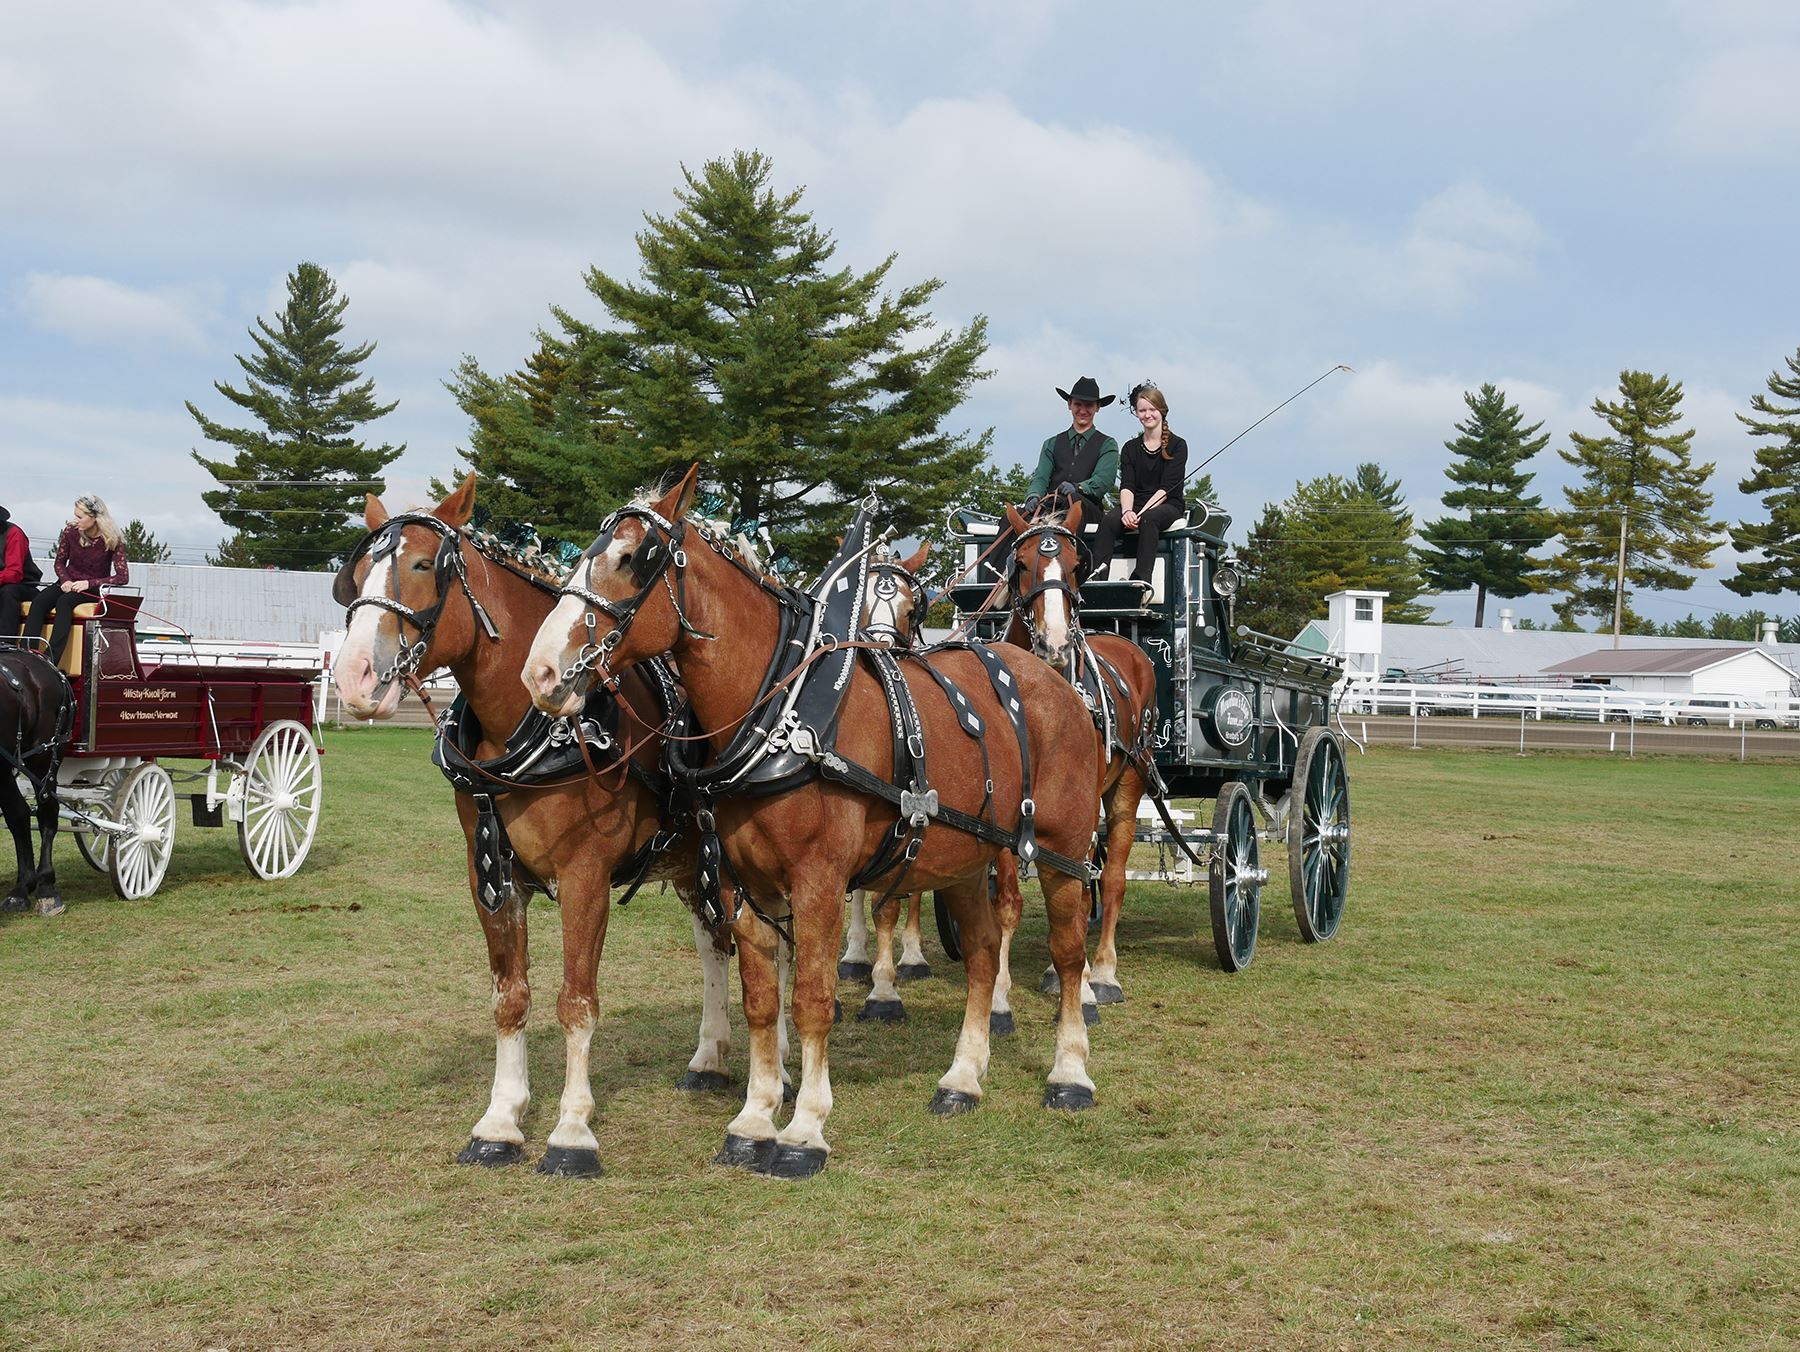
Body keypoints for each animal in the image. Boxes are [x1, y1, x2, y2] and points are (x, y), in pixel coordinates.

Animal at [331, 476, 782, 1178]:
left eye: (424, 565)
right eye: (356, 577)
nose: (353, 677)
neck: (530, 728)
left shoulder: (585, 877)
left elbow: (577, 1001)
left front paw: (572, 1130)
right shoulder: (491, 878)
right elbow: (510, 998)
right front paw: (500, 1121)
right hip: (695, 861)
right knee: (718, 943)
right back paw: (710, 1058)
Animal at [523, 468, 1104, 1177]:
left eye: (634, 559)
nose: (541, 673)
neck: (780, 711)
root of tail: (1053, 677)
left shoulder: (819, 880)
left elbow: (811, 1000)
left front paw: (804, 1130)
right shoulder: (743, 885)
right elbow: (760, 1000)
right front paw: (753, 1119)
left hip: (1063, 850)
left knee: (1068, 954)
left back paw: (1069, 1074)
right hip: (963, 856)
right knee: (984, 953)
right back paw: (963, 1079)